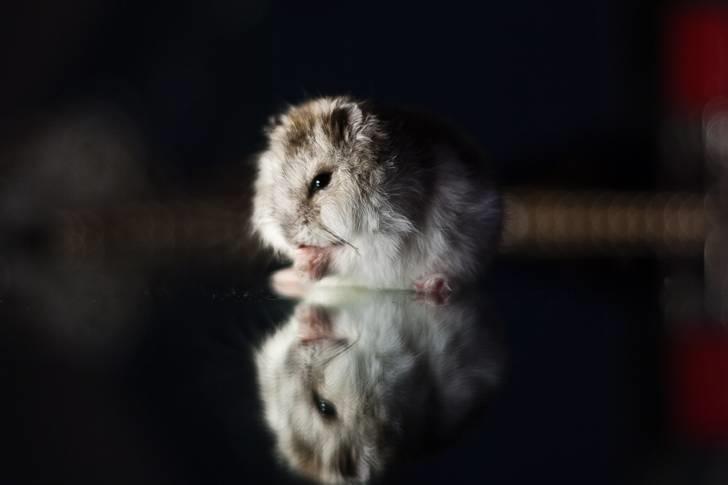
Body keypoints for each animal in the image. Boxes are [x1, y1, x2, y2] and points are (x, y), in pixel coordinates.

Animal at [251, 96, 502, 294]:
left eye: (321, 181)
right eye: (274, 182)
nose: (291, 239)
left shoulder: (387, 239)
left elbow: (345, 255)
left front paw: (306, 264)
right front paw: (298, 264)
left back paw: (432, 286)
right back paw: (282, 278)